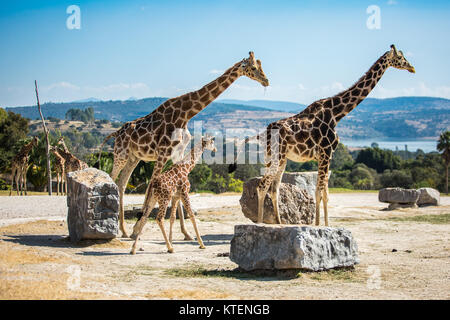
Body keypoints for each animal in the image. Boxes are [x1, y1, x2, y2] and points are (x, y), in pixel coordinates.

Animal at [100, 51, 268, 238]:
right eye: (254, 67)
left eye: (260, 66)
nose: (266, 81)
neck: (185, 114)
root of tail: (116, 133)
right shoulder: (162, 153)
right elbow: (151, 186)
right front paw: (137, 229)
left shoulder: (177, 153)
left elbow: (176, 190)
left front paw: (186, 233)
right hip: (121, 154)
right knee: (112, 178)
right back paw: (119, 228)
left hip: (134, 157)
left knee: (122, 184)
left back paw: (123, 229)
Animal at [237, 45, 416, 228]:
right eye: (401, 57)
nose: (412, 68)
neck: (337, 113)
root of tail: (263, 133)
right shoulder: (326, 153)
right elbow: (318, 191)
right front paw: (317, 225)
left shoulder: (326, 156)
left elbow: (325, 194)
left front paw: (327, 225)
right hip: (276, 157)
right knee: (262, 186)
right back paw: (260, 223)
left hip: (279, 159)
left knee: (274, 188)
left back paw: (279, 223)